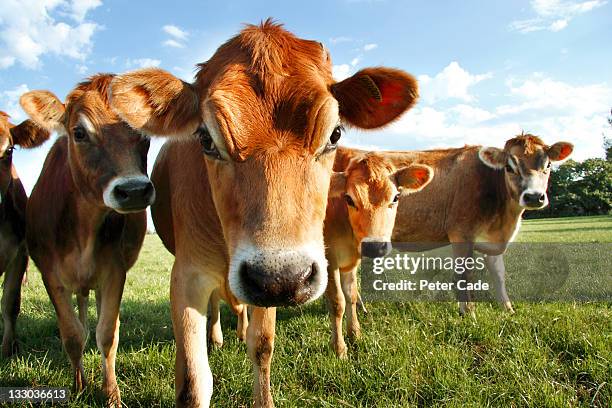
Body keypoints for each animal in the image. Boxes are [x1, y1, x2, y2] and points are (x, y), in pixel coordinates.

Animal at [21, 75, 155, 406]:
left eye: (143, 131)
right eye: (79, 132)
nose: (134, 191)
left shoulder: (115, 272)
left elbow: (107, 333)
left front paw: (112, 394)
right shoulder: (49, 273)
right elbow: (72, 334)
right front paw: (78, 385)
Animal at [107, 19, 418, 408]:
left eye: (335, 134)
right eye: (205, 139)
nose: (282, 277)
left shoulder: (270, 290)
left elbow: (263, 345)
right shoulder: (188, 275)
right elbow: (194, 381)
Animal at [322, 153, 432, 356]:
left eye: (396, 197)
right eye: (349, 199)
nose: (375, 247)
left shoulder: (351, 261)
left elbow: (351, 294)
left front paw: (355, 332)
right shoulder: (328, 259)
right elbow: (337, 302)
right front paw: (339, 348)